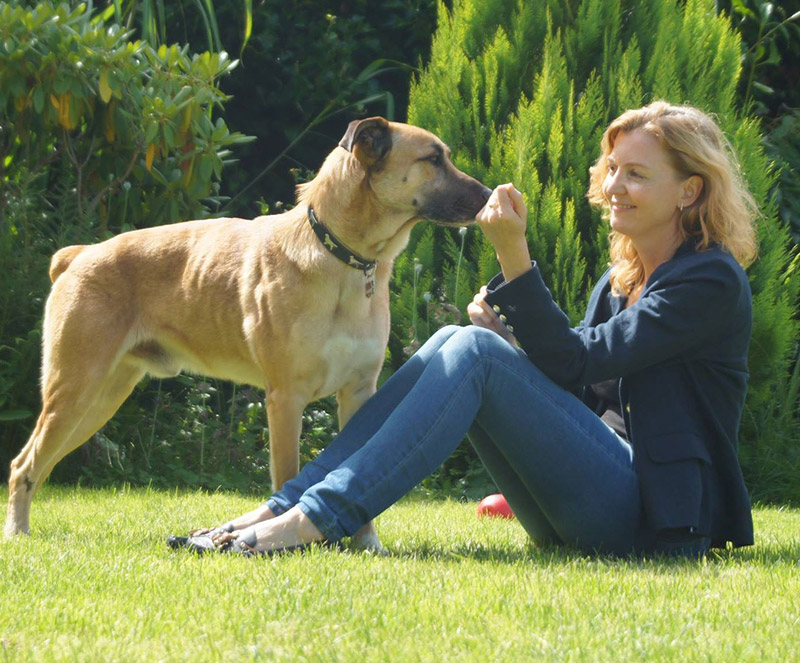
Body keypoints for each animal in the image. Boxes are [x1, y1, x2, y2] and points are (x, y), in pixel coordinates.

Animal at [4, 116, 494, 548]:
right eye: (433, 158)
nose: (492, 194)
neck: (339, 256)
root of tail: (78, 255)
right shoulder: (285, 398)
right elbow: (288, 474)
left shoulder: (360, 394)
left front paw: (365, 542)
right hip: (74, 390)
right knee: (23, 465)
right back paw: (17, 534)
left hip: (100, 399)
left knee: (39, 465)